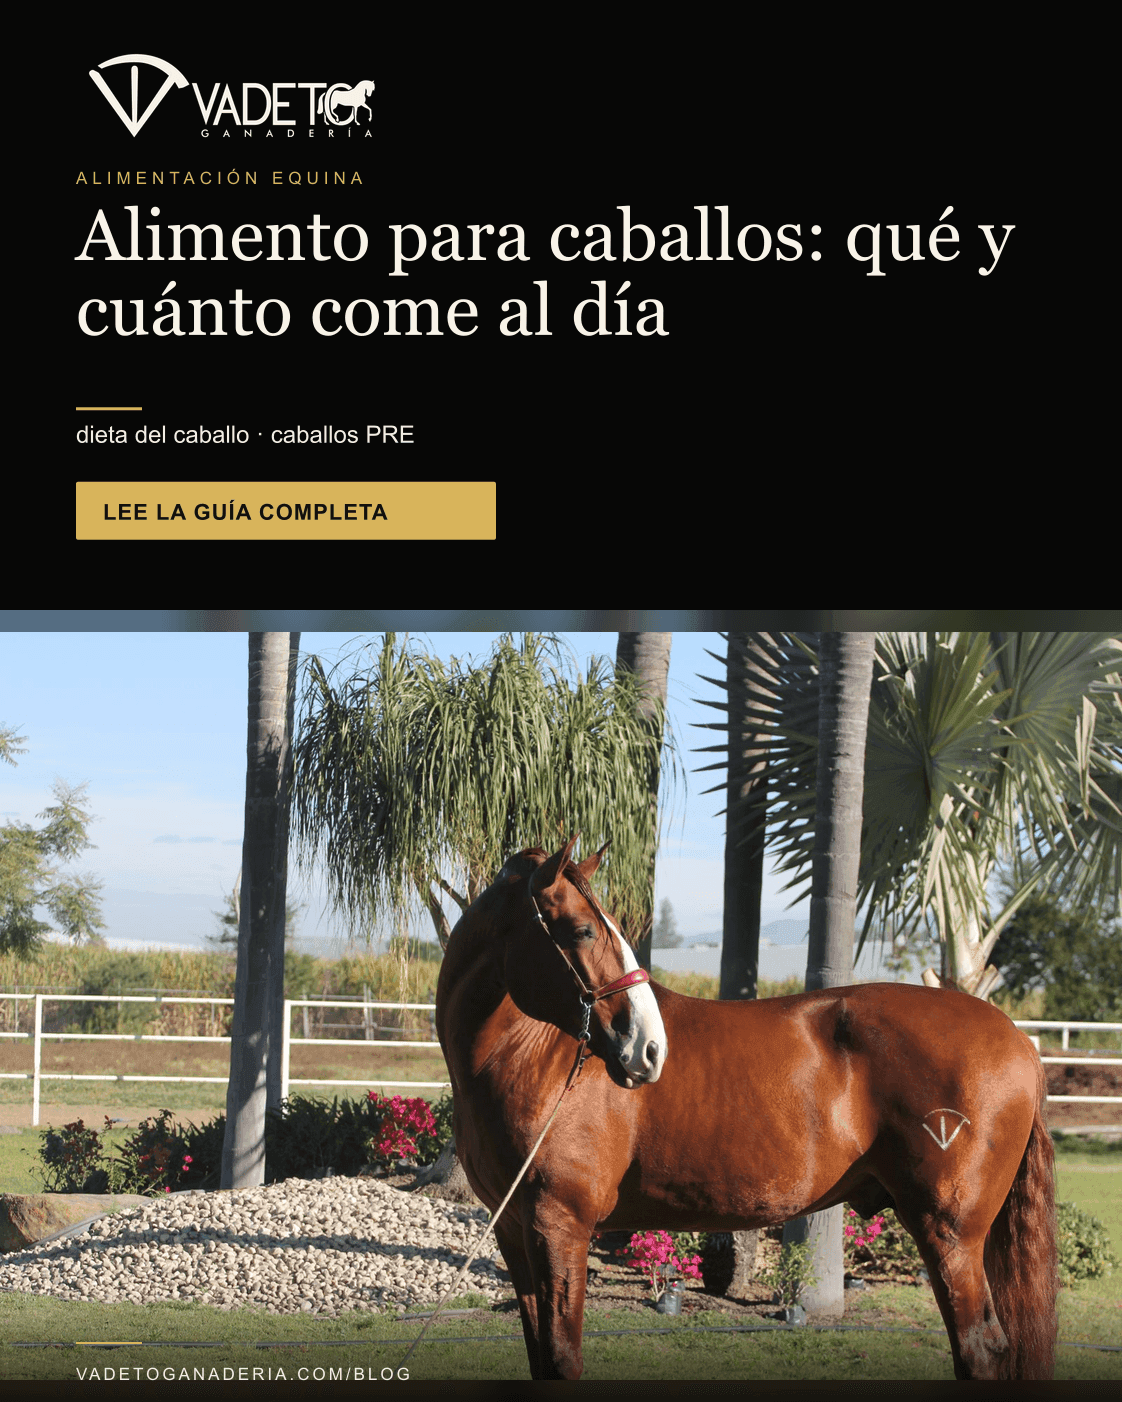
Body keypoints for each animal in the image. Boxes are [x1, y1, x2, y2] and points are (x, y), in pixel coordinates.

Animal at [435, 835, 1058, 1381]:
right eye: (585, 929)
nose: (649, 1048)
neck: (529, 1055)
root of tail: (1019, 1040)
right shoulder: (515, 1230)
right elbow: (542, 1357)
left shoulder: (560, 1225)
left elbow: (563, 1358)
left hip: (951, 1235)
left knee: (981, 1351)